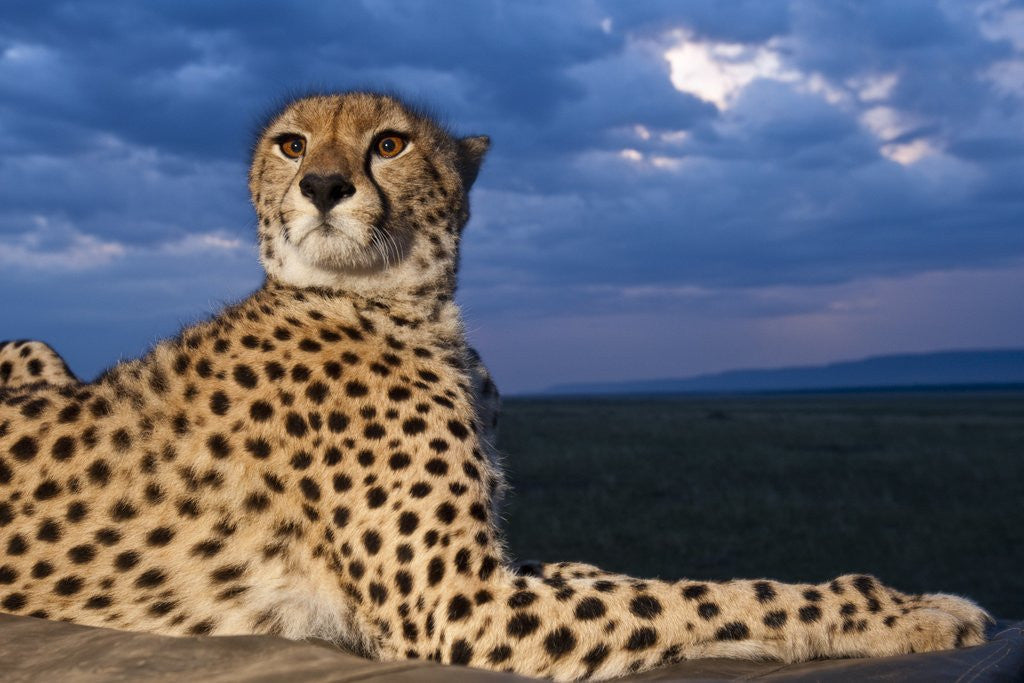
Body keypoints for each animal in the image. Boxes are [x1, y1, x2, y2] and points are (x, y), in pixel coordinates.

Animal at [0, 92, 991, 681]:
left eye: (388, 143)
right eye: (290, 144)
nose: (322, 185)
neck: (397, 303)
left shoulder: (490, 574)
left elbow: (618, 578)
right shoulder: (460, 606)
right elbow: (702, 593)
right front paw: (903, 611)